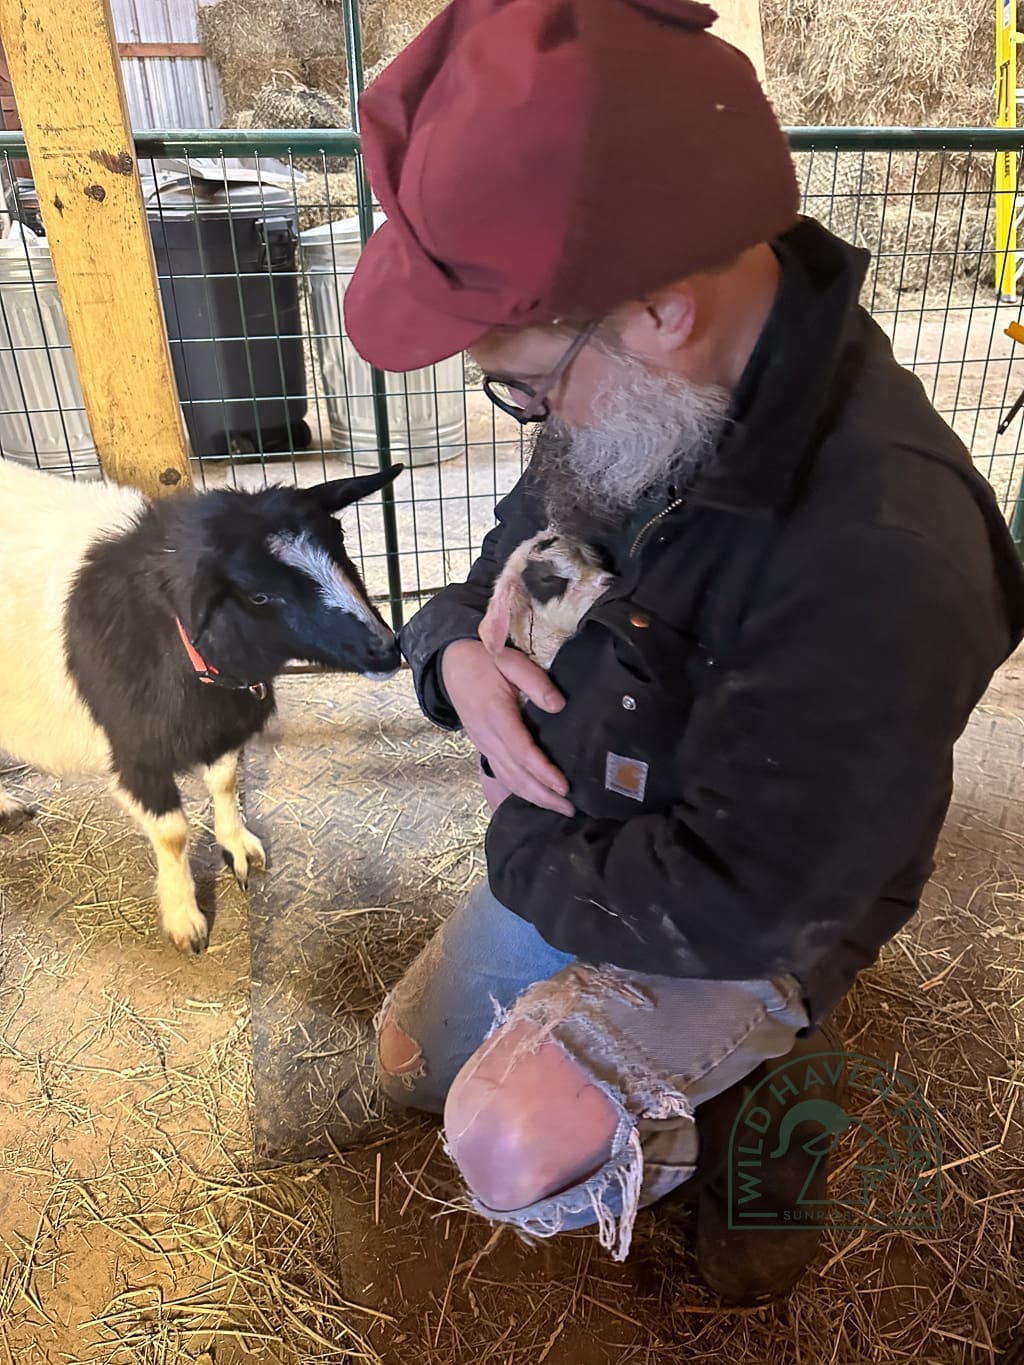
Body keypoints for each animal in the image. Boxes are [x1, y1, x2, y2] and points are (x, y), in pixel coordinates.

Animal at [0, 459, 403, 954]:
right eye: (258, 595)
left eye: (340, 542)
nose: (384, 649)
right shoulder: (136, 754)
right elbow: (172, 833)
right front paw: (184, 919)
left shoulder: (220, 724)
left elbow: (225, 782)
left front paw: (238, 848)